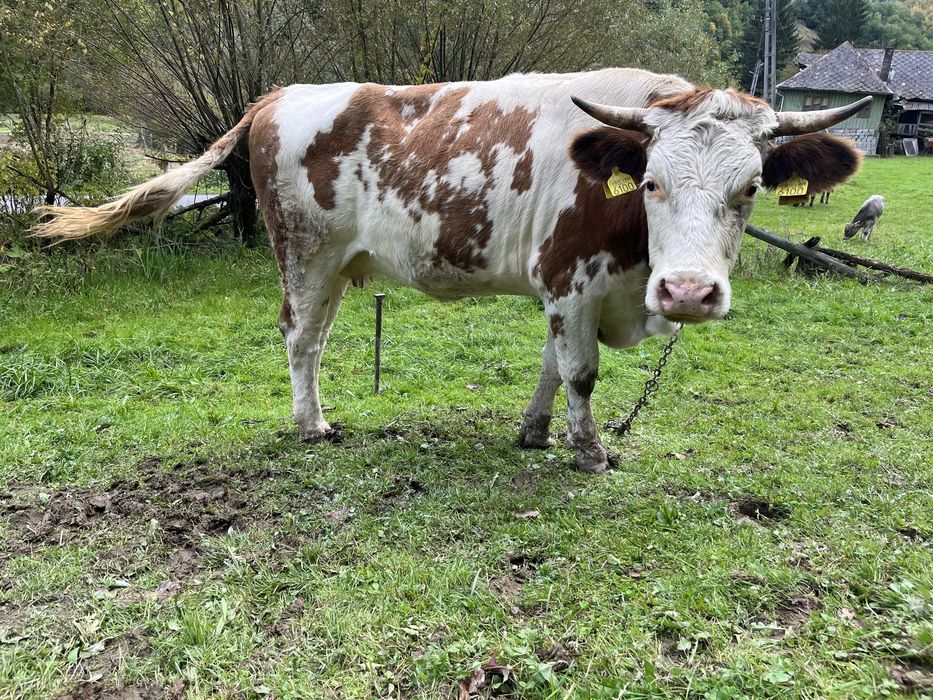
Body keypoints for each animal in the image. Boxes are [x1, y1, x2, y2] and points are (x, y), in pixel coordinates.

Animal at [33, 69, 868, 473]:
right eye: (651, 182)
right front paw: (589, 452)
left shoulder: (564, 288)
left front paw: (534, 432)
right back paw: (310, 424)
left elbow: (549, 366)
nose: (688, 292)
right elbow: (581, 373)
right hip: (304, 253)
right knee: (301, 339)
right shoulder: (571, 275)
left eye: (751, 186)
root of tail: (281, 94)